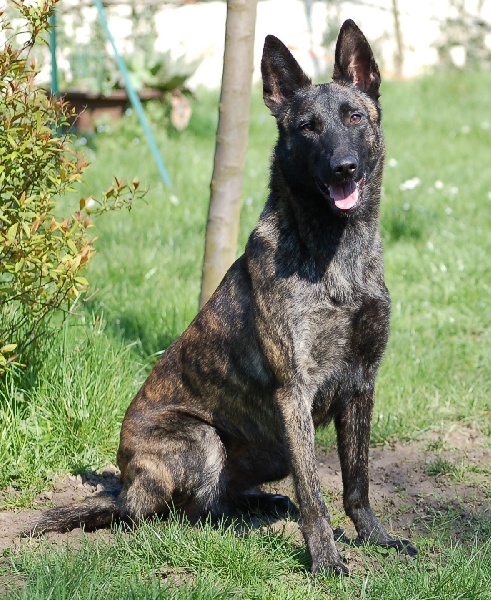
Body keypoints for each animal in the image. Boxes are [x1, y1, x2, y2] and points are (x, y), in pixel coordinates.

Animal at [28, 20, 417, 575]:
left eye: (354, 116)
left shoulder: (361, 385)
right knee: (183, 513)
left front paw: (376, 538)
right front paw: (325, 559)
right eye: (307, 128)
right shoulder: (293, 393)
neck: (334, 254)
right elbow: (316, 494)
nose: (343, 167)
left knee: (219, 500)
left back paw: (263, 504)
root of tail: (124, 486)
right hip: (202, 439)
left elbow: (356, 482)